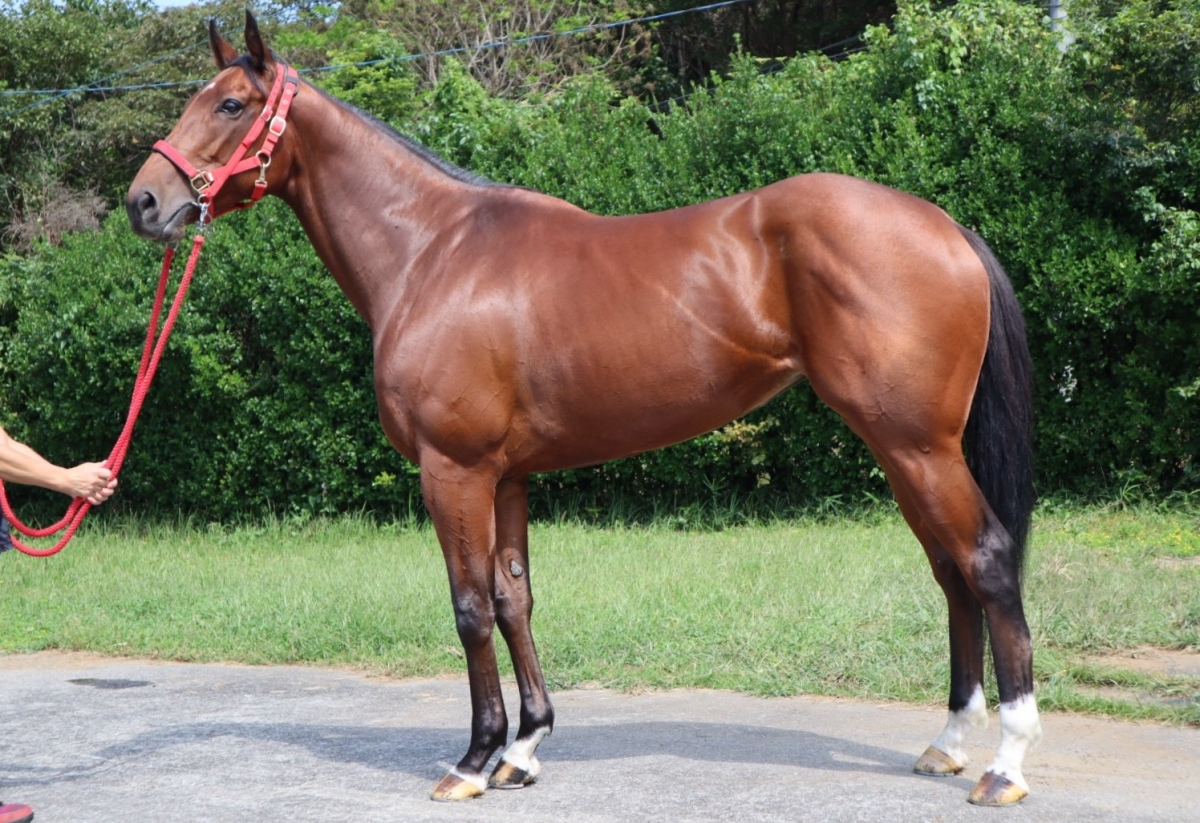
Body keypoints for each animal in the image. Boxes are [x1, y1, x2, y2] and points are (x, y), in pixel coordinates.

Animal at [126, 13, 1040, 807]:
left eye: (230, 104)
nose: (143, 202)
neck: (432, 252)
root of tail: (945, 227)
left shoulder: (453, 471)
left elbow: (468, 607)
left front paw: (472, 758)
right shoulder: (506, 476)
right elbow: (513, 598)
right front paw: (524, 748)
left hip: (917, 445)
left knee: (988, 560)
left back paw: (1005, 762)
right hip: (904, 450)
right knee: (951, 570)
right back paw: (948, 742)